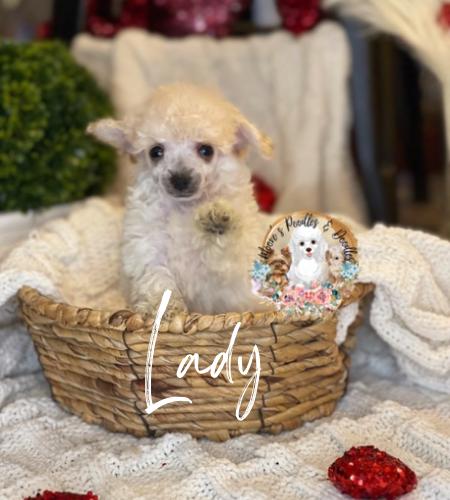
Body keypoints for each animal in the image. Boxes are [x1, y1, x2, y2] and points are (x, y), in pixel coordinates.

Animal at [88, 83, 275, 316]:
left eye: (206, 150)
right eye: (156, 152)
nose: (180, 179)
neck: (184, 209)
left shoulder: (233, 270)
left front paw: (218, 220)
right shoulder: (147, 246)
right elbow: (157, 280)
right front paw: (163, 311)